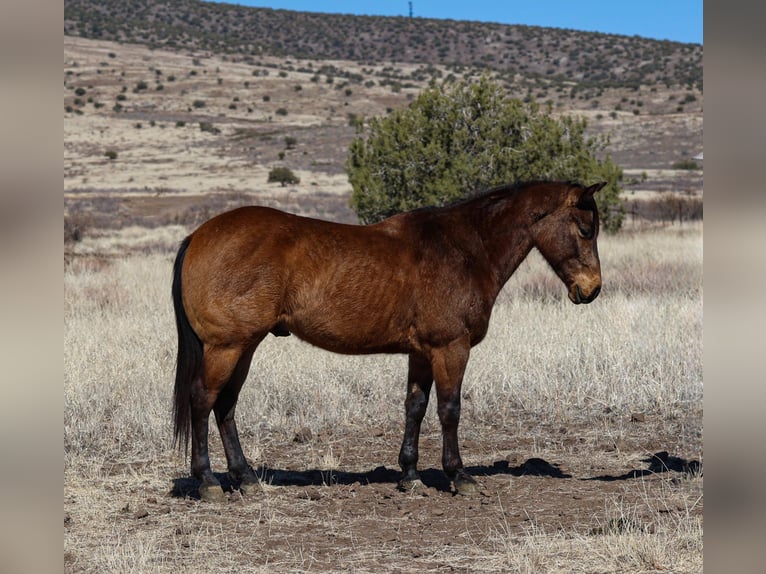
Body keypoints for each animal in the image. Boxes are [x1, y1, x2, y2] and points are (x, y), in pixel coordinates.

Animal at [174, 182, 608, 502]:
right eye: (585, 229)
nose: (592, 290)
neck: (464, 248)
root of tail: (198, 235)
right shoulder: (450, 348)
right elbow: (449, 410)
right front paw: (460, 476)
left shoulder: (421, 353)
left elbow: (414, 408)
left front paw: (410, 475)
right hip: (227, 347)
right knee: (203, 400)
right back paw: (208, 481)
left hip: (244, 347)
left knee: (226, 406)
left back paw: (246, 478)